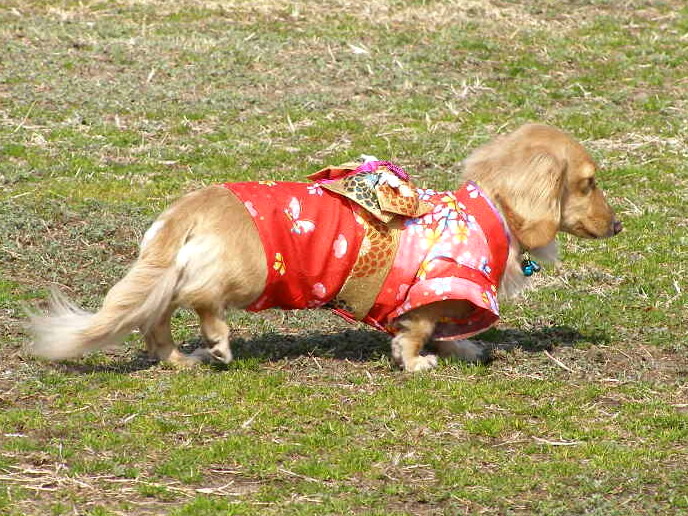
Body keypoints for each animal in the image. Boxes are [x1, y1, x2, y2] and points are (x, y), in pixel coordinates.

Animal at [26, 123, 620, 372]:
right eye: (589, 183)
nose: (617, 227)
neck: (488, 211)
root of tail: (190, 207)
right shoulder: (431, 293)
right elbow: (419, 331)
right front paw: (416, 362)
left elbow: (449, 333)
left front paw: (463, 351)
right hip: (244, 277)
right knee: (200, 299)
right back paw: (217, 341)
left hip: (170, 277)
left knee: (156, 320)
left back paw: (179, 358)